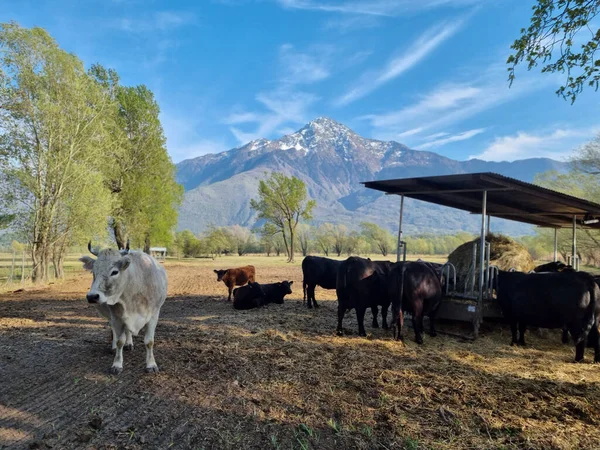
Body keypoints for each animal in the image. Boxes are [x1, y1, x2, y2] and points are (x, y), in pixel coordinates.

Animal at [79, 241, 168, 374]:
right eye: (93, 272)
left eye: (114, 272)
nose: (92, 296)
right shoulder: (116, 316)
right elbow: (120, 341)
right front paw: (117, 364)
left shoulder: (154, 315)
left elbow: (149, 341)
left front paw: (151, 364)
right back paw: (114, 346)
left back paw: (129, 343)